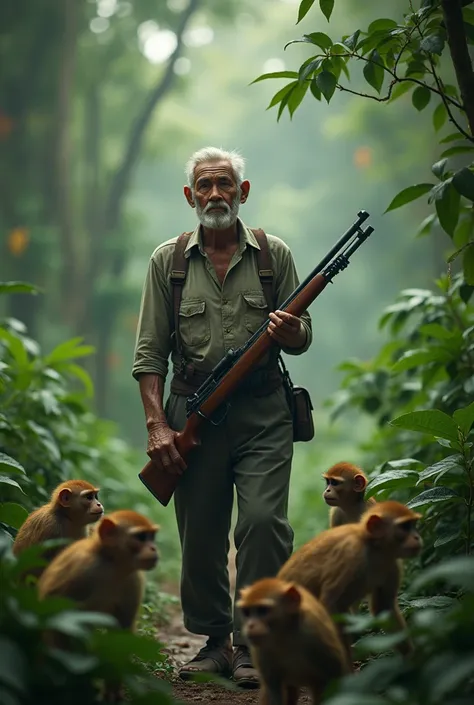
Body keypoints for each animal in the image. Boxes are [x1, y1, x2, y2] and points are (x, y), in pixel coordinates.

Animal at [237, 576, 348, 704]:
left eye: (262, 610)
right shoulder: (261, 651)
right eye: (247, 612)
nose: (251, 625)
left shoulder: (315, 634)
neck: (284, 634)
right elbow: (274, 691)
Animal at [278, 498, 422, 664]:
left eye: (413, 525)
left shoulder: (392, 565)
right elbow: (329, 605)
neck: (373, 547)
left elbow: (384, 608)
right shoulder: (350, 555)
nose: (417, 537)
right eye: (404, 527)